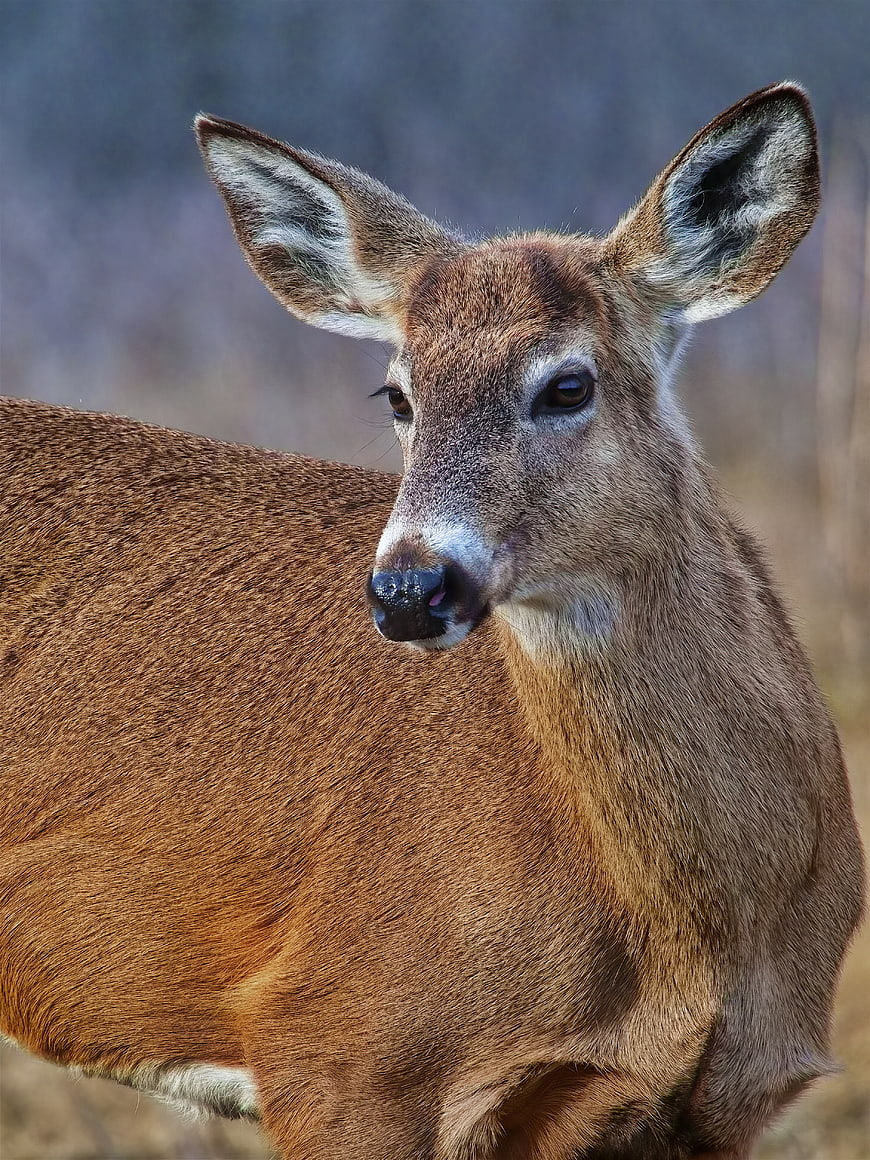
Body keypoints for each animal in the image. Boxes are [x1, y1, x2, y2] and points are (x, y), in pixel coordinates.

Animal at [0, 82, 864, 1160]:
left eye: (567, 385)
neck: (704, 928)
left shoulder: (728, 1099)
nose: (411, 587)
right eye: (397, 393)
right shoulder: (341, 1046)